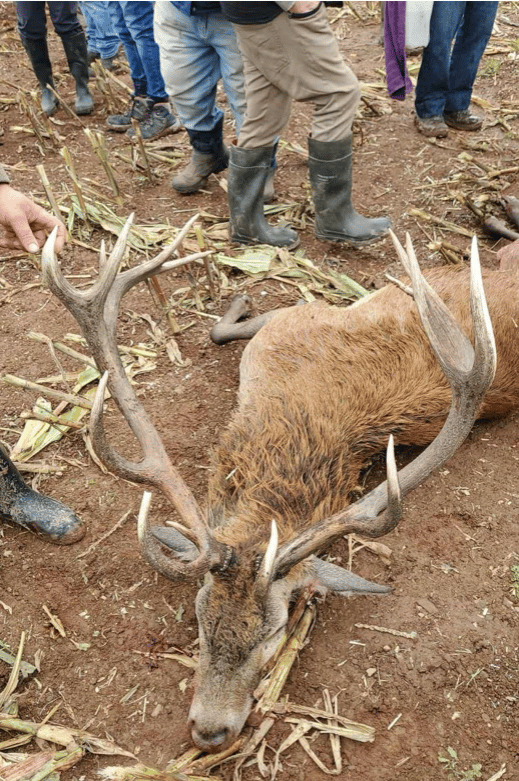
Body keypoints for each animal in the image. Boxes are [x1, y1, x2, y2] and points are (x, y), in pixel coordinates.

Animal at [42, 216, 513, 754]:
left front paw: (240, 300)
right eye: (199, 619)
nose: (209, 732)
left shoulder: (296, 317)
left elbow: (225, 327)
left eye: (276, 629)